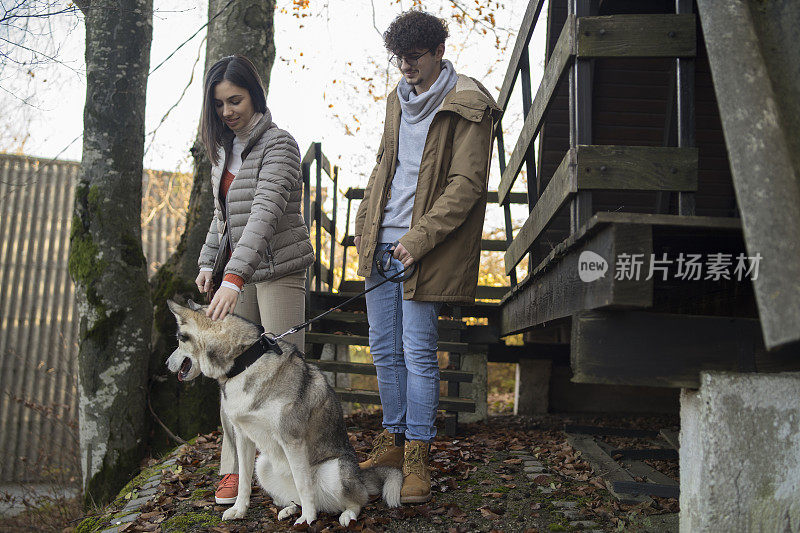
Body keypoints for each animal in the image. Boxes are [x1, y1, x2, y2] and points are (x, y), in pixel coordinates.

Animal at [166, 300, 404, 524]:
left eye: (179, 338)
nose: (166, 363)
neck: (245, 362)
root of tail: (361, 476)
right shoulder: (243, 437)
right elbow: (243, 481)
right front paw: (239, 510)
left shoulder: (292, 440)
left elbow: (303, 485)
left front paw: (308, 519)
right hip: (262, 464)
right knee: (295, 498)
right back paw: (289, 510)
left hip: (335, 471)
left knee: (356, 501)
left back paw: (346, 515)